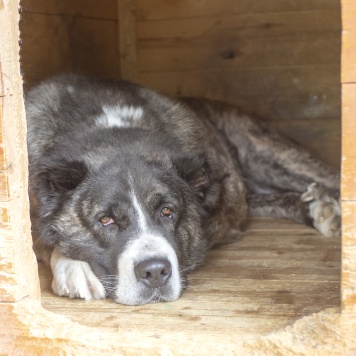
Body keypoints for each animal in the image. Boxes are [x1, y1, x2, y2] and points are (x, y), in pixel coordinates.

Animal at [25, 73, 342, 304]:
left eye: (168, 211)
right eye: (105, 220)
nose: (154, 271)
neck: (111, 128)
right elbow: (38, 239)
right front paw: (73, 268)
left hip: (267, 155)